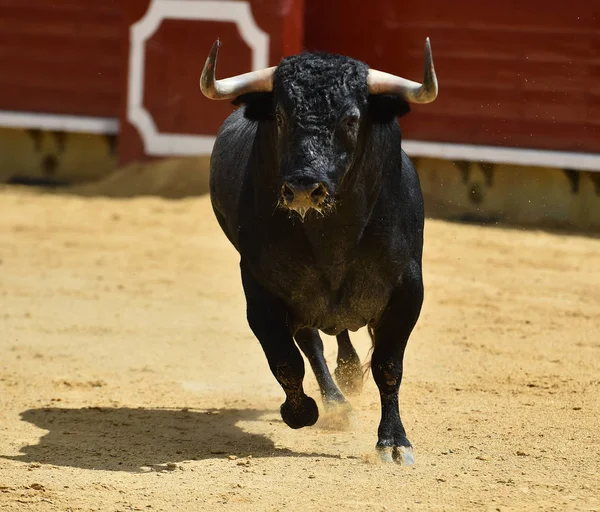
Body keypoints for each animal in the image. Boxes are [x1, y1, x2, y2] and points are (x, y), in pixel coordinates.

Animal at [199, 39, 438, 464]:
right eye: (280, 115)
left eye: (351, 118)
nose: (303, 188)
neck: (334, 237)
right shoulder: (259, 290)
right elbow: (286, 359)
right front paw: (301, 412)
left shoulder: (409, 289)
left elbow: (389, 365)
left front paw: (394, 442)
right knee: (311, 342)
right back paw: (338, 402)